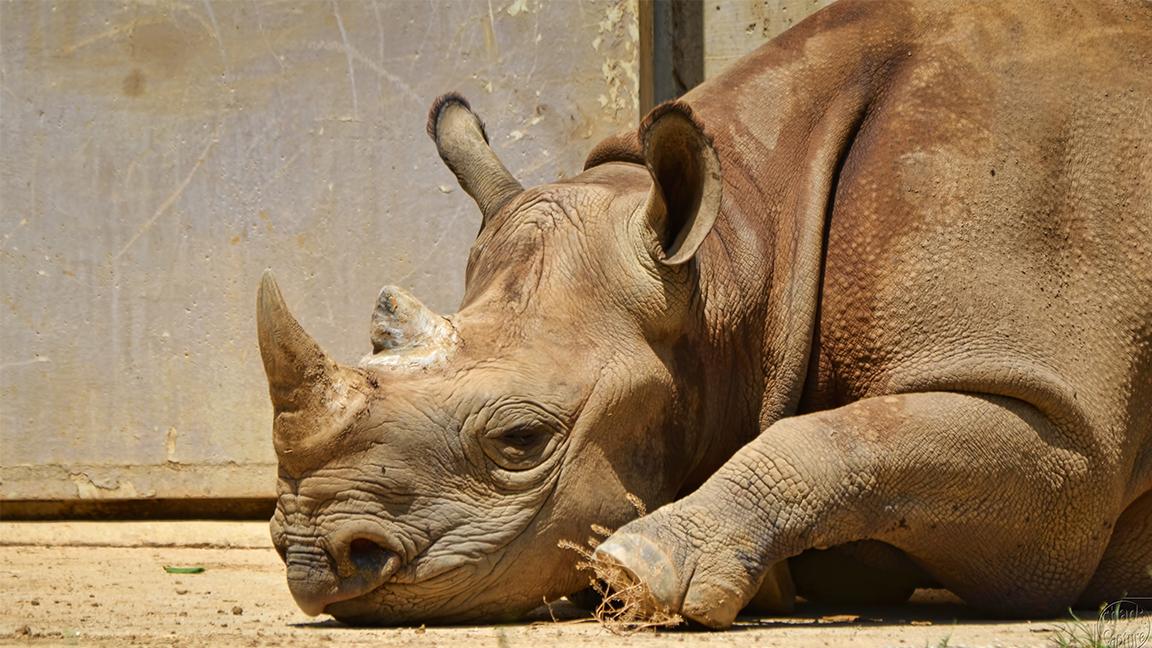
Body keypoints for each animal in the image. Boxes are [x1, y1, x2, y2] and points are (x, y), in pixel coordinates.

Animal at [261, 0, 1152, 627]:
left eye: (521, 441)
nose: (310, 557)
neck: (743, 251)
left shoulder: (1061, 441)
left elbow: (841, 438)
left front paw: (637, 570)